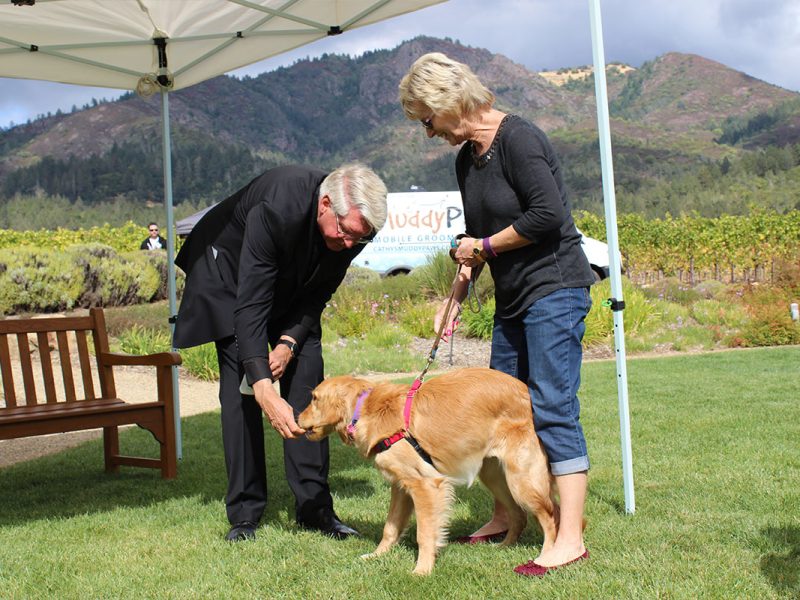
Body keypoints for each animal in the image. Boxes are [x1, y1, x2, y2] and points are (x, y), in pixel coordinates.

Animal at [298, 368, 556, 576]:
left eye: (314, 398)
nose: (297, 418)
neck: (366, 410)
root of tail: (526, 392)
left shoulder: (426, 485)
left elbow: (425, 533)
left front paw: (422, 570)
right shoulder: (400, 486)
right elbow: (390, 527)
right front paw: (377, 555)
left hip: (523, 480)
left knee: (551, 516)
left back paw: (547, 557)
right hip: (496, 477)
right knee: (519, 515)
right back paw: (503, 546)